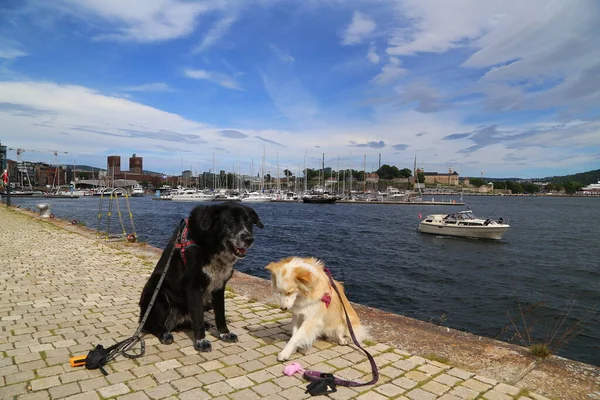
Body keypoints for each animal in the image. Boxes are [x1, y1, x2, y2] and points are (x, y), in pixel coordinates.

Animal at [141, 202, 264, 352]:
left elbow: (220, 314)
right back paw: (165, 334)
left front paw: (225, 333)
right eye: (231, 221)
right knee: (153, 326)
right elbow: (198, 316)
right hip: (158, 295)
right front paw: (201, 341)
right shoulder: (194, 287)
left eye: (249, 222)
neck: (211, 246)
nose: (249, 239)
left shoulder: (219, 286)